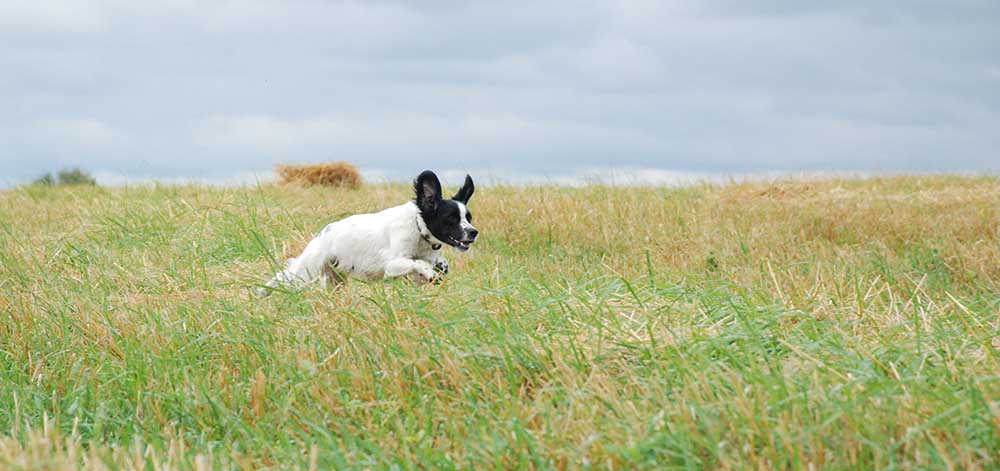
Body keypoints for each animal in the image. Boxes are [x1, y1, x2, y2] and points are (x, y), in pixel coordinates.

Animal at [258, 170, 476, 296]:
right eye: (451, 218)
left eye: (469, 217)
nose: (474, 232)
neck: (418, 228)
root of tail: (323, 232)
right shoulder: (392, 265)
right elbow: (418, 263)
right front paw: (431, 272)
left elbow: (434, 265)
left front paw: (438, 267)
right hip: (306, 270)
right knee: (285, 276)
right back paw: (263, 291)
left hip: (335, 279)